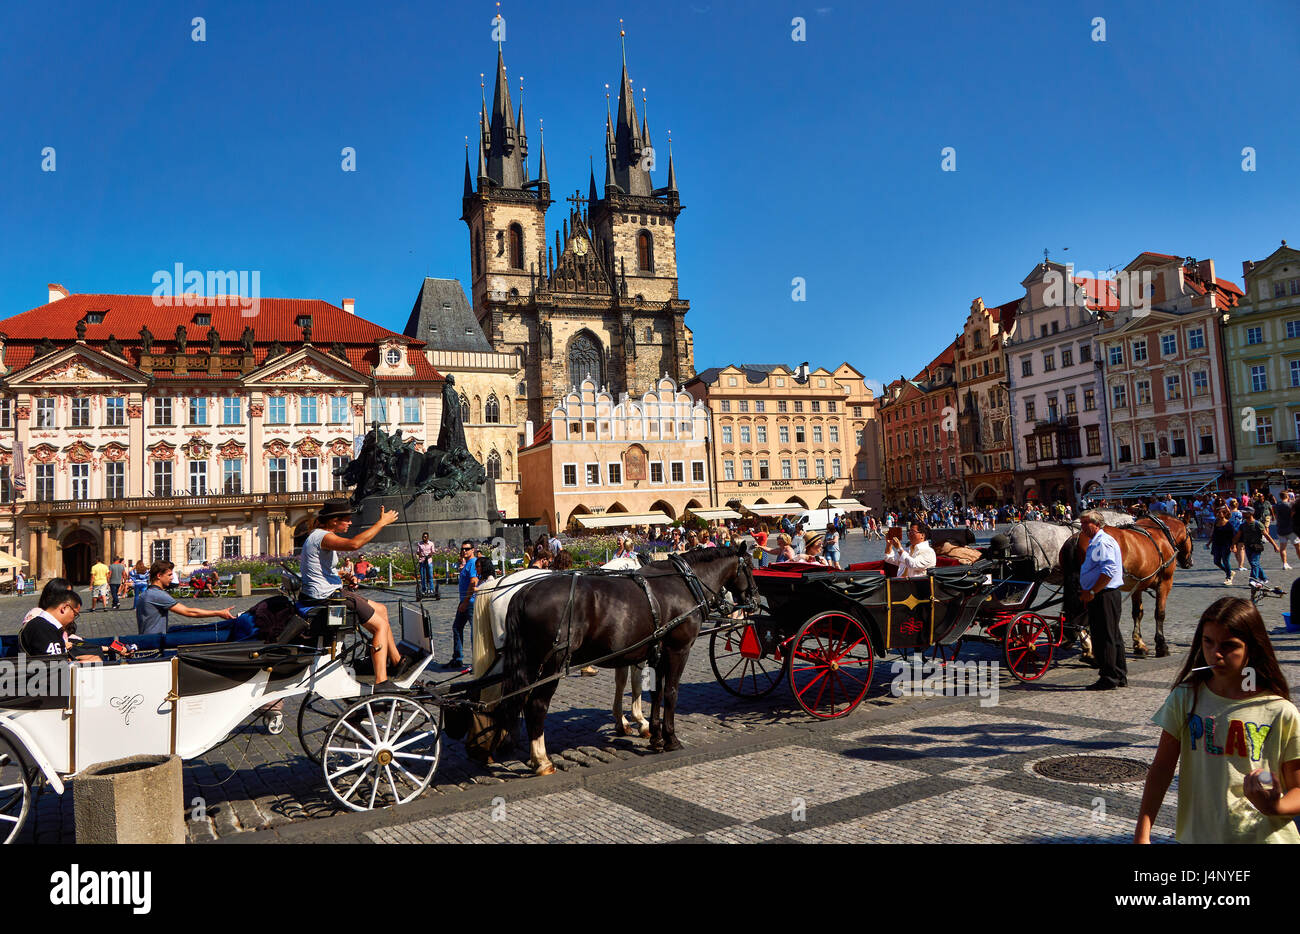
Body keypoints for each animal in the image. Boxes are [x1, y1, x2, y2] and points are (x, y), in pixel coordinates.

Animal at [447, 548, 759, 775]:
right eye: (750, 568)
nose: (754, 600)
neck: (682, 583)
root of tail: (520, 591)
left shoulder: (652, 652)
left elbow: (653, 693)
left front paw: (651, 734)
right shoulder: (676, 650)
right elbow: (667, 693)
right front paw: (666, 737)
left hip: (524, 662)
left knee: (510, 698)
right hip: (549, 665)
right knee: (534, 705)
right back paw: (540, 760)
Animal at [1060, 515, 1190, 663]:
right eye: (1190, 533)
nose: (1189, 562)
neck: (1161, 534)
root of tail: (1076, 539)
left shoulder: (1138, 585)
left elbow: (1137, 613)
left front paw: (1139, 645)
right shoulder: (1165, 583)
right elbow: (1160, 613)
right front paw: (1161, 646)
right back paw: (1089, 649)